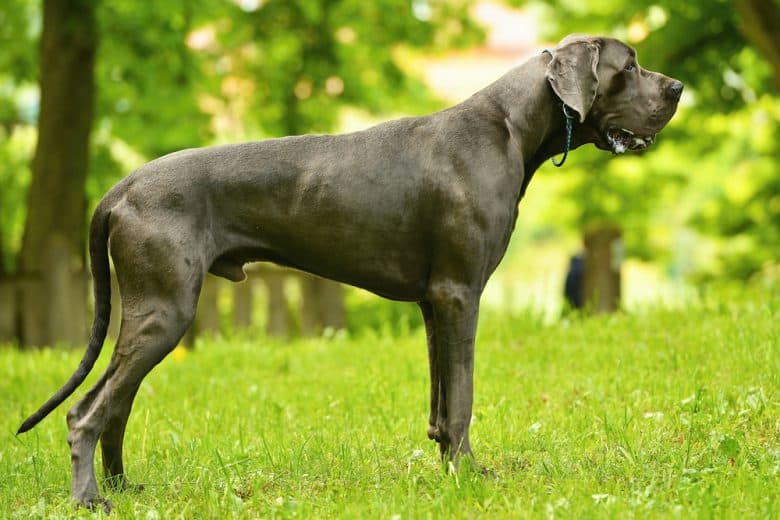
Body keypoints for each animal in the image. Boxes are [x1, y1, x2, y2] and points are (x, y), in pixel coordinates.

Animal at [18, 35, 684, 512]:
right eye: (630, 64)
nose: (679, 87)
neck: (509, 127)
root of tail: (122, 186)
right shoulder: (459, 294)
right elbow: (464, 398)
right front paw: (469, 475)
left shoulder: (433, 303)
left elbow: (443, 402)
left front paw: (446, 466)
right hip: (165, 312)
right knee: (86, 411)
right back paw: (90, 500)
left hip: (148, 315)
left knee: (116, 405)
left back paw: (123, 490)